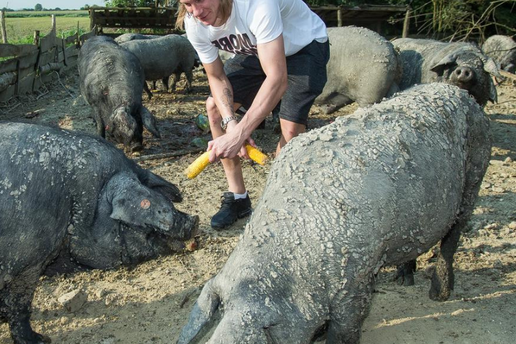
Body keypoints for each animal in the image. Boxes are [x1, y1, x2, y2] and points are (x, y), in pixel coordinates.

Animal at [177, 84, 492, 344]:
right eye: (221, 316)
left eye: (256, 335)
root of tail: (462, 94)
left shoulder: (357, 279)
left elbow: (345, 329)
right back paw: (404, 279)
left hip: (475, 173)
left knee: (452, 237)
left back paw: (439, 294)